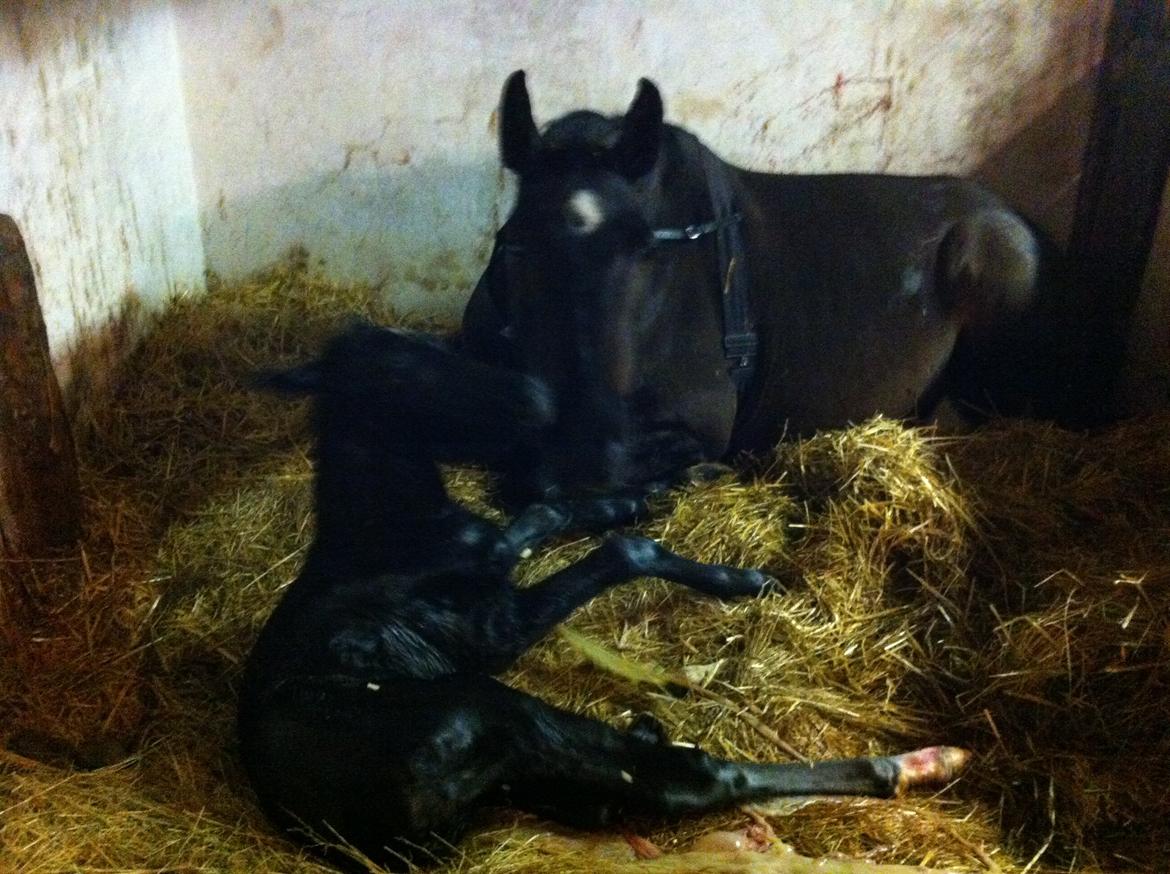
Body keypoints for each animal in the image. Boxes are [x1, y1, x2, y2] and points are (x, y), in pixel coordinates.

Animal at [235, 325, 968, 870]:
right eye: (402, 371)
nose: (534, 394)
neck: (388, 530)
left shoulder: (498, 560)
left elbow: (546, 516)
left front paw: (660, 490)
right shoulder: (490, 629)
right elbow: (620, 552)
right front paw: (741, 580)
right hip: (496, 713)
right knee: (689, 782)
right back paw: (916, 762)